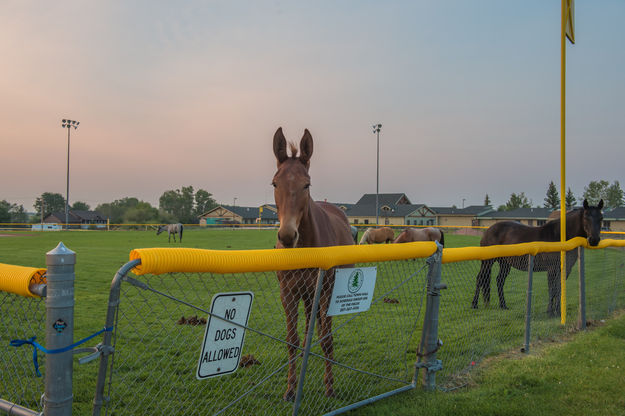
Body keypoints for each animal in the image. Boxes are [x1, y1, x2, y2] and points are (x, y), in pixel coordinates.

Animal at [270, 128, 354, 402]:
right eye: (275, 183)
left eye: (306, 184)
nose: (287, 236)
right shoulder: (288, 293)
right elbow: (292, 339)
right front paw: (290, 388)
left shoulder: (325, 291)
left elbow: (326, 339)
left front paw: (329, 386)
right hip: (307, 294)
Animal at [470, 200, 604, 316]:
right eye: (586, 217)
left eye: (601, 218)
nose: (594, 240)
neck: (558, 237)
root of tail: (489, 230)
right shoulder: (552, 269)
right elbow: (552, 289)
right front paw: (550, 312)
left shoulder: (565, 270)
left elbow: (559, 288)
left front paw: (558, 311)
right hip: (488, 262)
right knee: (480, 278)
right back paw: (474, 305)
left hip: (505, 263)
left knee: (499, 281)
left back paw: (503, 305)